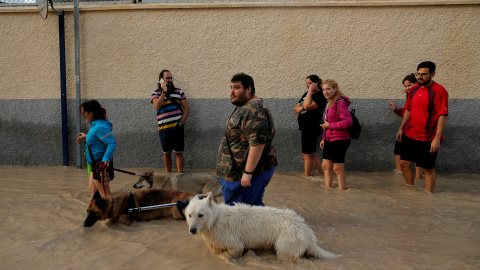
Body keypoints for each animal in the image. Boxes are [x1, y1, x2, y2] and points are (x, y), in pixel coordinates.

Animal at [186, 192, 340, 260]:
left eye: (200, 215)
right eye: (190, 215)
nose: (192, 230)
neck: (215, 220)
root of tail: (307, 232)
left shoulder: (234, 243)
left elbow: (233, 251)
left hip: (286, 242)